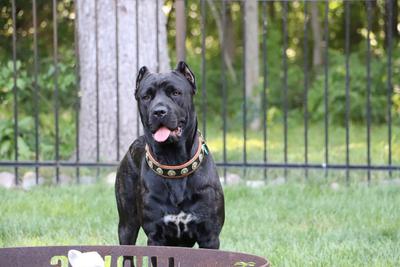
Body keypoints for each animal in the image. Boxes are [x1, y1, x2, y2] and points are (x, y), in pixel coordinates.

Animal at [115, 61, 225, 254]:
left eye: (175, 93)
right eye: (146, 96)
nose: (159, 111)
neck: (174, 162)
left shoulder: (209, 236)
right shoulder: (156, 235)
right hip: (127, 224)